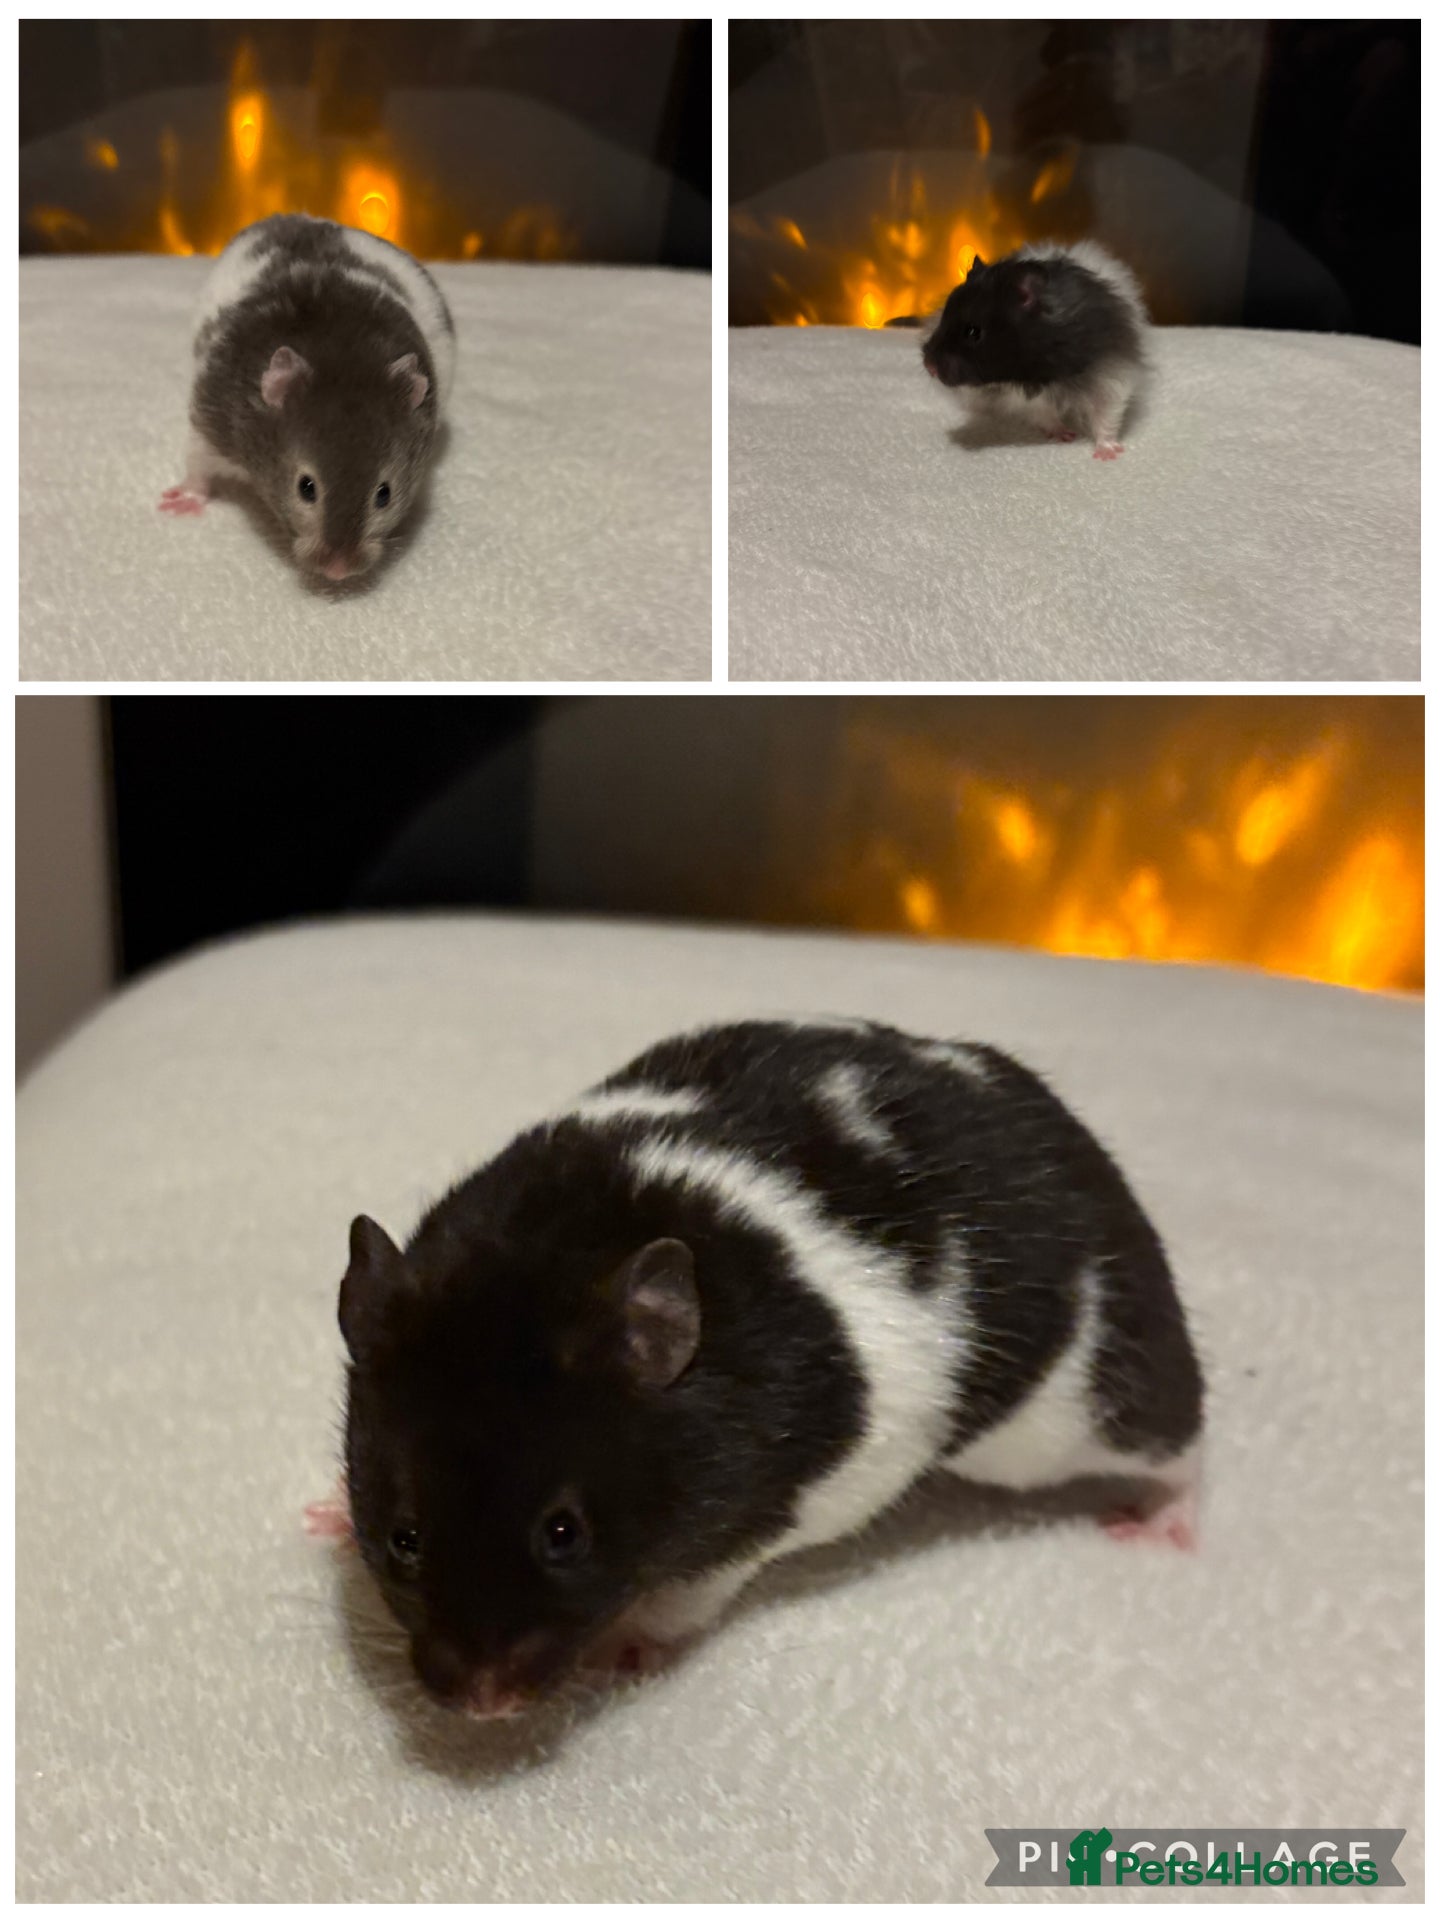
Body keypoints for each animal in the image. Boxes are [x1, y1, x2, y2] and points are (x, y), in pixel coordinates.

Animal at [159, 213, 455, 580]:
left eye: (384, 494)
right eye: (306, 488)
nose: (338, 571)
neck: (343, 350)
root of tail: (310, 218)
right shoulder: (216, 415)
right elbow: (198, 461)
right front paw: (183, 499)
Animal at [330, 1018, 1204, 1719]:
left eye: (564, 1535)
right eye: (405, 1538)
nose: (484, 1707)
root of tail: (1071, 1134)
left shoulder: (756, 1526)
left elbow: (683, 1600)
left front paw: (620, 1657)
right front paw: (329, 1517)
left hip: (1083, 1408)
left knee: (1180, 1442)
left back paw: (1162, 1527)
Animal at [922, 240, 1148, 459]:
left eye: (973, 332)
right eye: (944, 317)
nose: (929, 366)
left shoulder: (1110, 375)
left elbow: (1105, 416)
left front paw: (1108, 454)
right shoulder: (1027, 397)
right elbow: (1045, 414)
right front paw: (1065, 436)